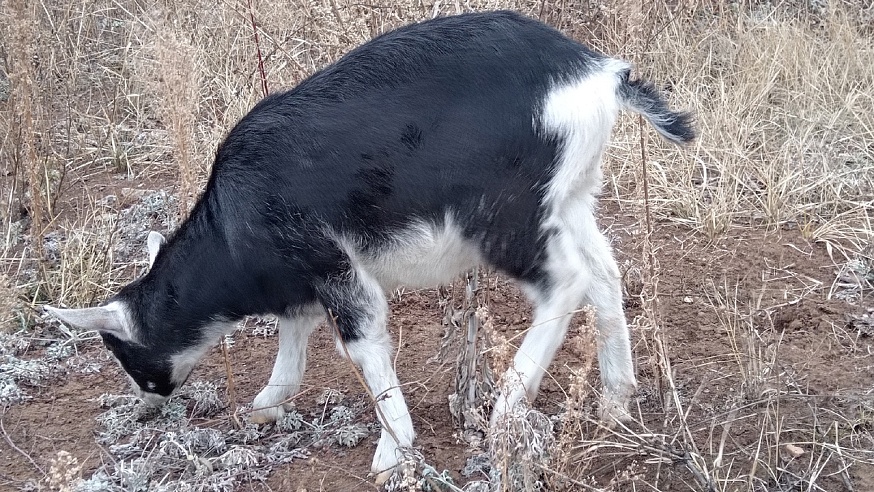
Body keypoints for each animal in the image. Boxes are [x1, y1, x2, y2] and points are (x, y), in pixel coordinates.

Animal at [47, 11, 692, 484]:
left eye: (125, 354)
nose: (147, 405)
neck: (232, 225)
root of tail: (598, 75)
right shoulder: (305, 278)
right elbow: (294, 335)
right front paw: (268, 403)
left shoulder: (335, 267)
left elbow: (362, 344)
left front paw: (393, 450)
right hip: (569, 197)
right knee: (604, 271)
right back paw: (616, 401)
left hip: (502, 217)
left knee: (567, 281)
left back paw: (508, 408)